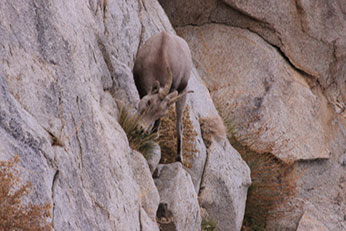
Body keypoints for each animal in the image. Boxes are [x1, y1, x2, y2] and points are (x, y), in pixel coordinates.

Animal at [133, 32, 193, 162]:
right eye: (149, 102)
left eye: (161, 113)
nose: (141, 128)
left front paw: (152, 135)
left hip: (182, 93)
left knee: (179, 124)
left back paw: (179, 157)